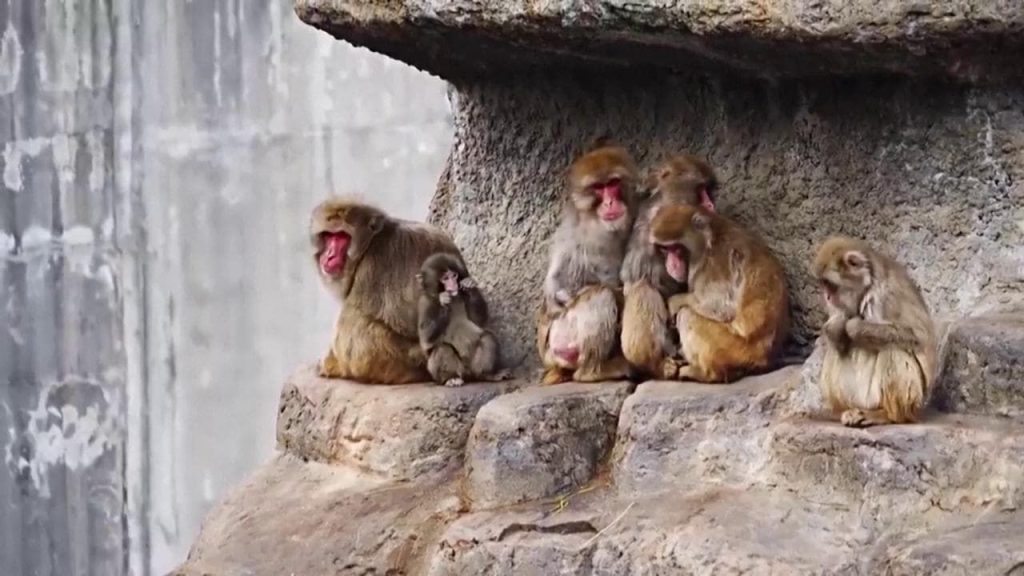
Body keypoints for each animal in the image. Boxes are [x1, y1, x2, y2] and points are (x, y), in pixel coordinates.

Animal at [311, 197, 463, 384]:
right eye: (328, 236)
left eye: (341, 236)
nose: (329, 256)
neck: (371, 243)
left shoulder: (371, 269)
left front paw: (331, 363)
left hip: (410, 358)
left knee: (354, 322)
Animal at [416, 252, 509, 386]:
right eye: (445, 278)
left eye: (454, 275)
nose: (453, 284)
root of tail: (468, 374)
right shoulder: (425, 303)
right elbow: (426, 338)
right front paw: (443, 300)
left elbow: (478, 321)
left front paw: (469, 286)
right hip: (451, 370)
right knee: (442, 348)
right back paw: (451, 378)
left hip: (473, 366)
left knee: (487, 337)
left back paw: (487, 374)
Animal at [538, 142, 638, 384]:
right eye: (598, 188)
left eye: (613, 183)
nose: (610, 202)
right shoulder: (573, 239)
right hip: (561, 339)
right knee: (601, 294)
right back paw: (593, 371)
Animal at [649, 204, 789, 383]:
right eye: (665, 249)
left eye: (677, 249)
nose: (671, 265)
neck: (708, 240)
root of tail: (763, 359)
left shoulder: (715, 261)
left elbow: (722, 306)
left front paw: (675, 301)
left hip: (732, 350)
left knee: (687, 314)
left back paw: (705, 373)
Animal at [812, 236, 937, 427]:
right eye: (823, 284)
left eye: (829, 284)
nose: (827, 297)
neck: (866, 288)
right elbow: (837, 335)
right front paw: (836, 326)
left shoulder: (890, 293)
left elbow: (919, 337)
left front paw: (854, 327)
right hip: (857, 399)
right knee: (835, 351)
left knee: (893, 349)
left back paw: (888, 415)